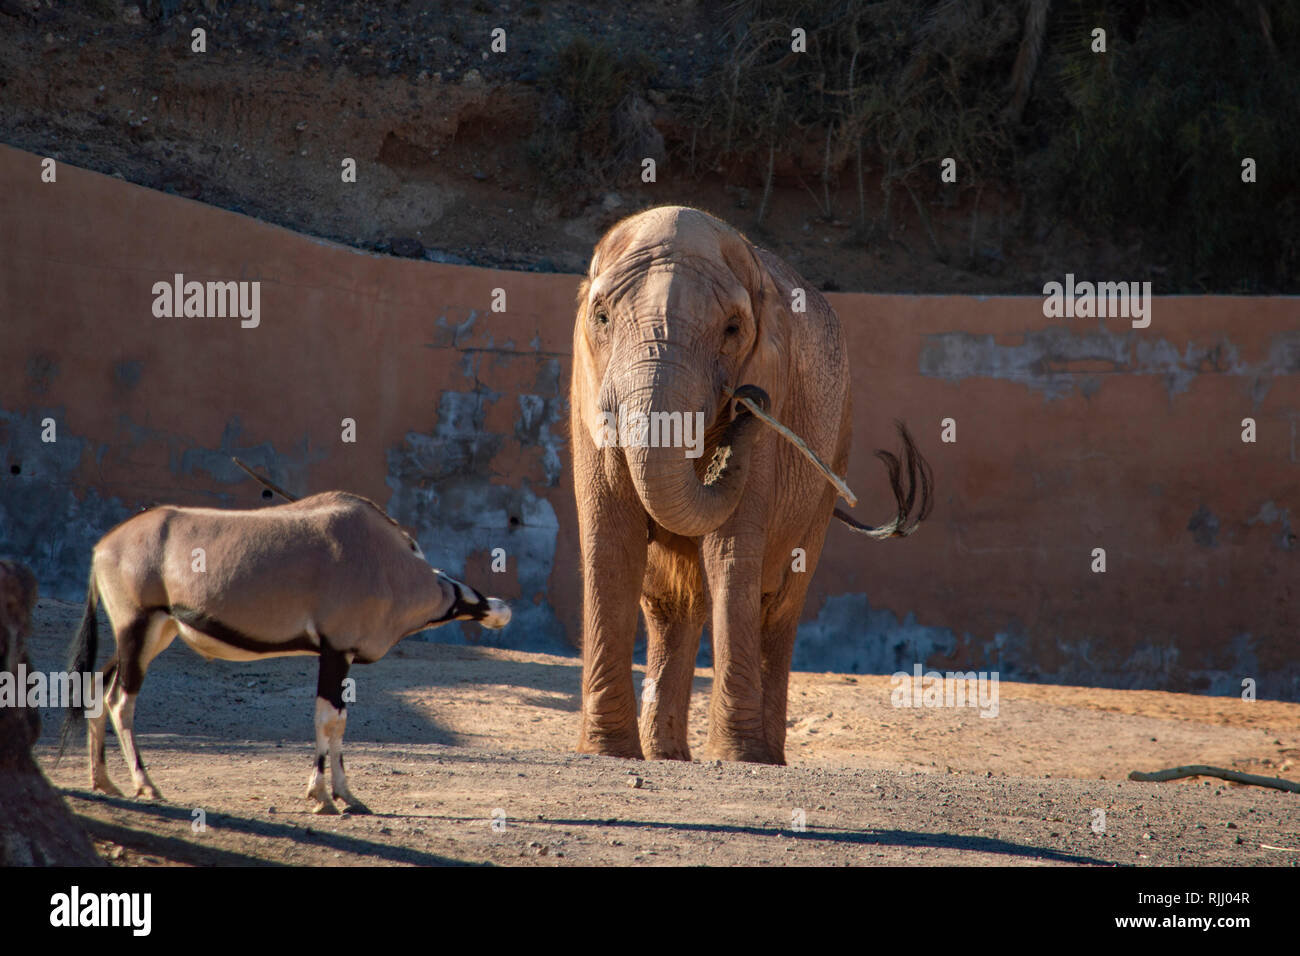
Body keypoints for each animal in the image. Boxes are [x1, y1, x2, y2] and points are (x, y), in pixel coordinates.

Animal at [61, 494, 509, 816]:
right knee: (122, 702)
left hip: (152, 635)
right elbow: (328, 719)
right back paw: (146, 785)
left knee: (98, 691)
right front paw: (321, 796)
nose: (499, 611)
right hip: (138, 628)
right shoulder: (335, 651)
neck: (387, 561)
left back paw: (103, 782)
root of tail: (104, 546)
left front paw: (348, 796)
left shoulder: (343, 657)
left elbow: (341, 723)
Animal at [574, 205, 930, 764]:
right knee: (670, 605)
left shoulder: (774, 379)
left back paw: (765, 756)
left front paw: (736, 756)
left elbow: (730, 550)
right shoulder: (586, 388)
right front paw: (607, 753)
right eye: (603, 317)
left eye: (733, 329)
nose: (747, 403)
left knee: (780, 602)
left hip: (836, 448)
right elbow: (611, 543)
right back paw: (668, 755)